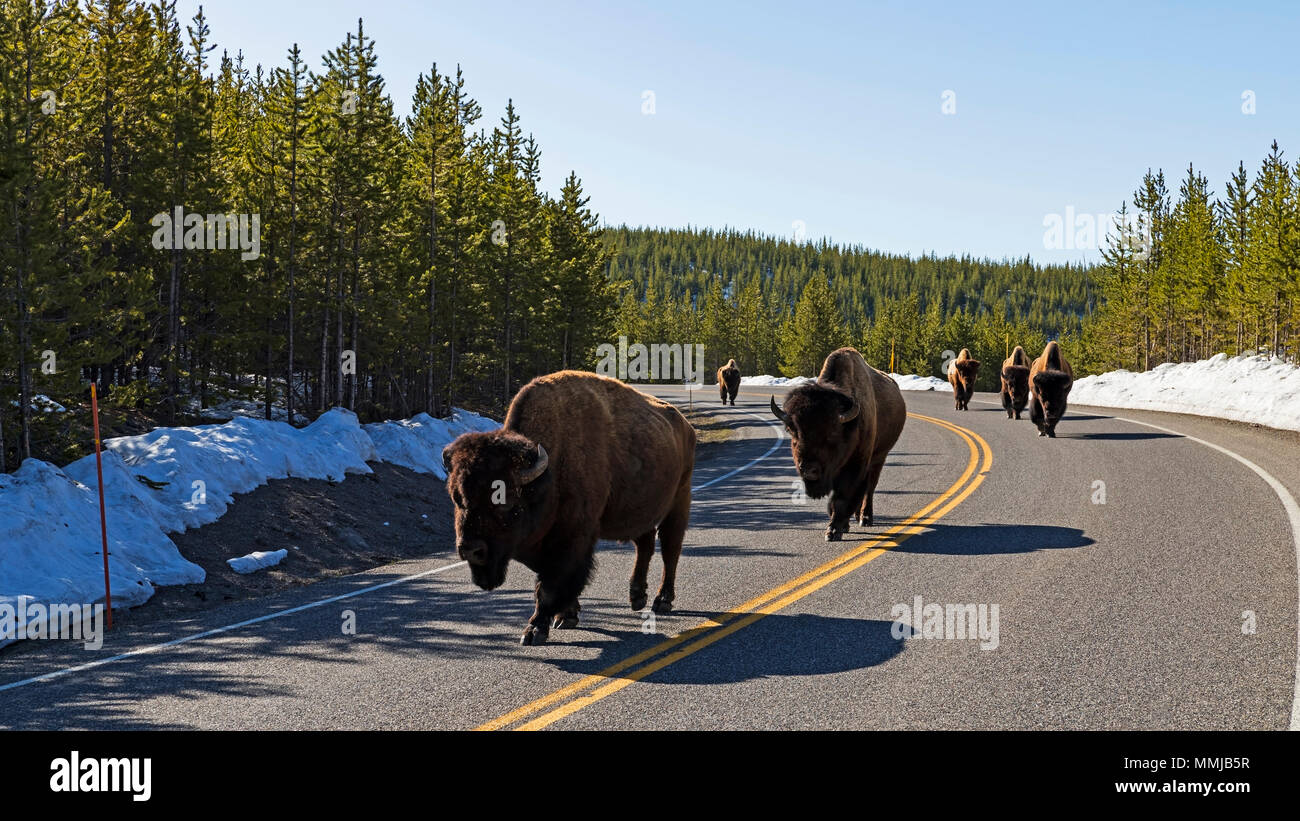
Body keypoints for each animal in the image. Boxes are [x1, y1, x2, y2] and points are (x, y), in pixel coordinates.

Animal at [441, 368, 696, 644]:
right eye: (457, 498)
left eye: (505, 501)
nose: (470, 549)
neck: (550, 472)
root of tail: (686, 426)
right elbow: (555, 581)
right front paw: (566, 616)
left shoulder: (572, 537)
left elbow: (550, 585)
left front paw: (534, 629)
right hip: (640, 510)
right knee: (645, 545)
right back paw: (637, 597)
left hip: (679, 501)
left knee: (670, 549)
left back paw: (663, 600)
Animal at [764, 345, 909, 537]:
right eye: (792, 431)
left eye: (832, 432)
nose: (809, 470)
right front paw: (841, 525)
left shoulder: (857, 464)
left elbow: (843, 497)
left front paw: (833, 531)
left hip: (880, 457)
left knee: (870, 487)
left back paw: (865, 518)